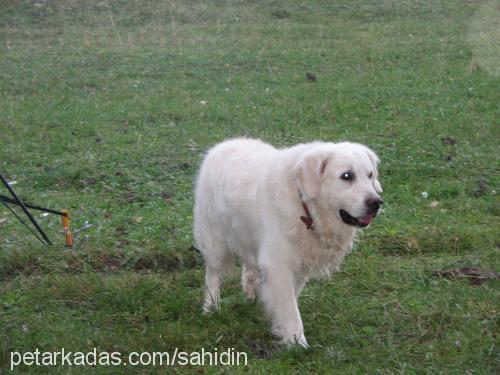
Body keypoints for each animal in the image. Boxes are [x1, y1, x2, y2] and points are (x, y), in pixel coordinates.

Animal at [192, 139, 382, 350]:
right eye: (347, 176)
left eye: (370, 175)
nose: (377, 203)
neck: (306, 207)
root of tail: (221, 145)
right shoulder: (278, 264)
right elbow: (290, 309)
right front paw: (297, 343)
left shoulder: (299, 263)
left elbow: (290, 299)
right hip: (214, 241)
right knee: (212, 275)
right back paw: (211, 308)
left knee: (249, 264)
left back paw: (250, 290)